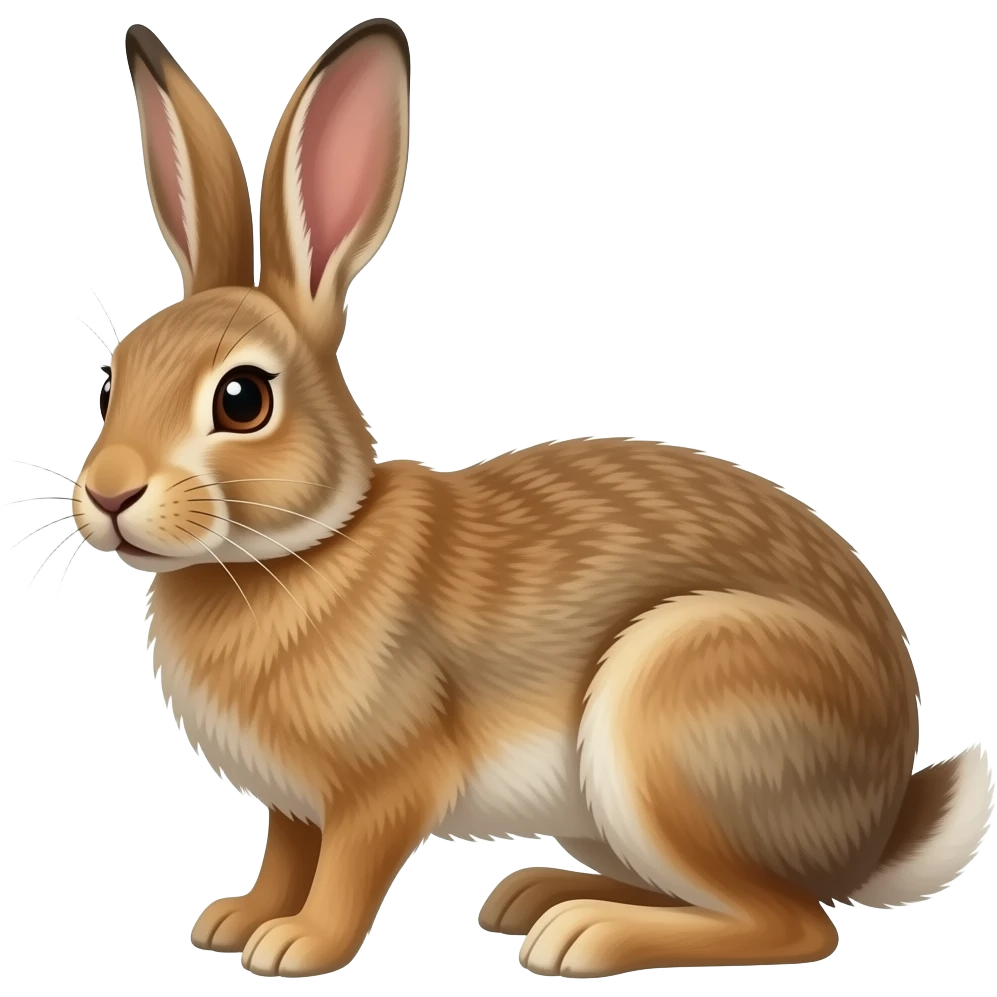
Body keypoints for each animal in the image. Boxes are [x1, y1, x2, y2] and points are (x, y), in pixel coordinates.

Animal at [71, 17, 994, 980]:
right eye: (113, 381)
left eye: (242, 399)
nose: (108, 492)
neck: (306, 545)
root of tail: (876, 827)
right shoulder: (292, 803)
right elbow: (286, 853)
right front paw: (233, 919)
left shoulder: (383, 784)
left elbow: (347, 869)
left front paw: (294, 945)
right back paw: (536, 895)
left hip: (673, 712)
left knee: (795, 922)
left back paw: (583, 935)